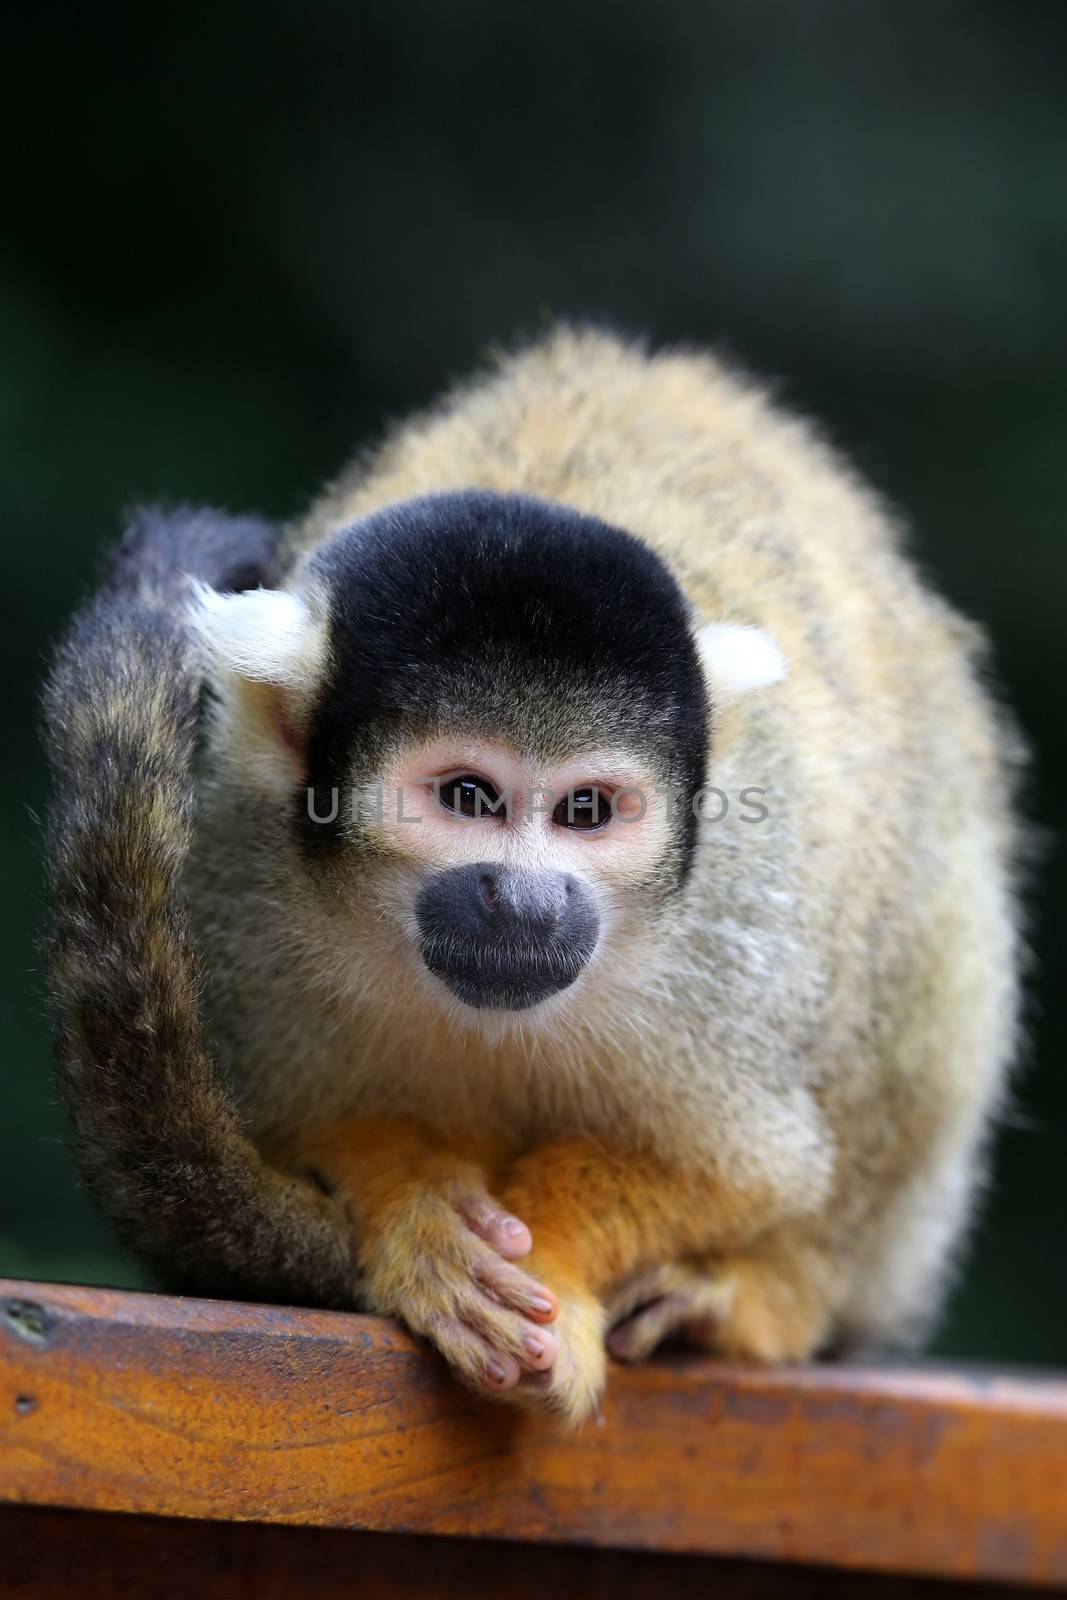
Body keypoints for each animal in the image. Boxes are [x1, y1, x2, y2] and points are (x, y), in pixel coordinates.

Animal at [45, 328, 1023, 1427]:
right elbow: (325, 1122)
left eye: (585, 811)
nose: (525, 899)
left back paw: (771, 1296)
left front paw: (551, 1260)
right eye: (469, 796)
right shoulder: (236, 866)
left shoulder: (730, 934)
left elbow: (739, 1172)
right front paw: (422, 1219)